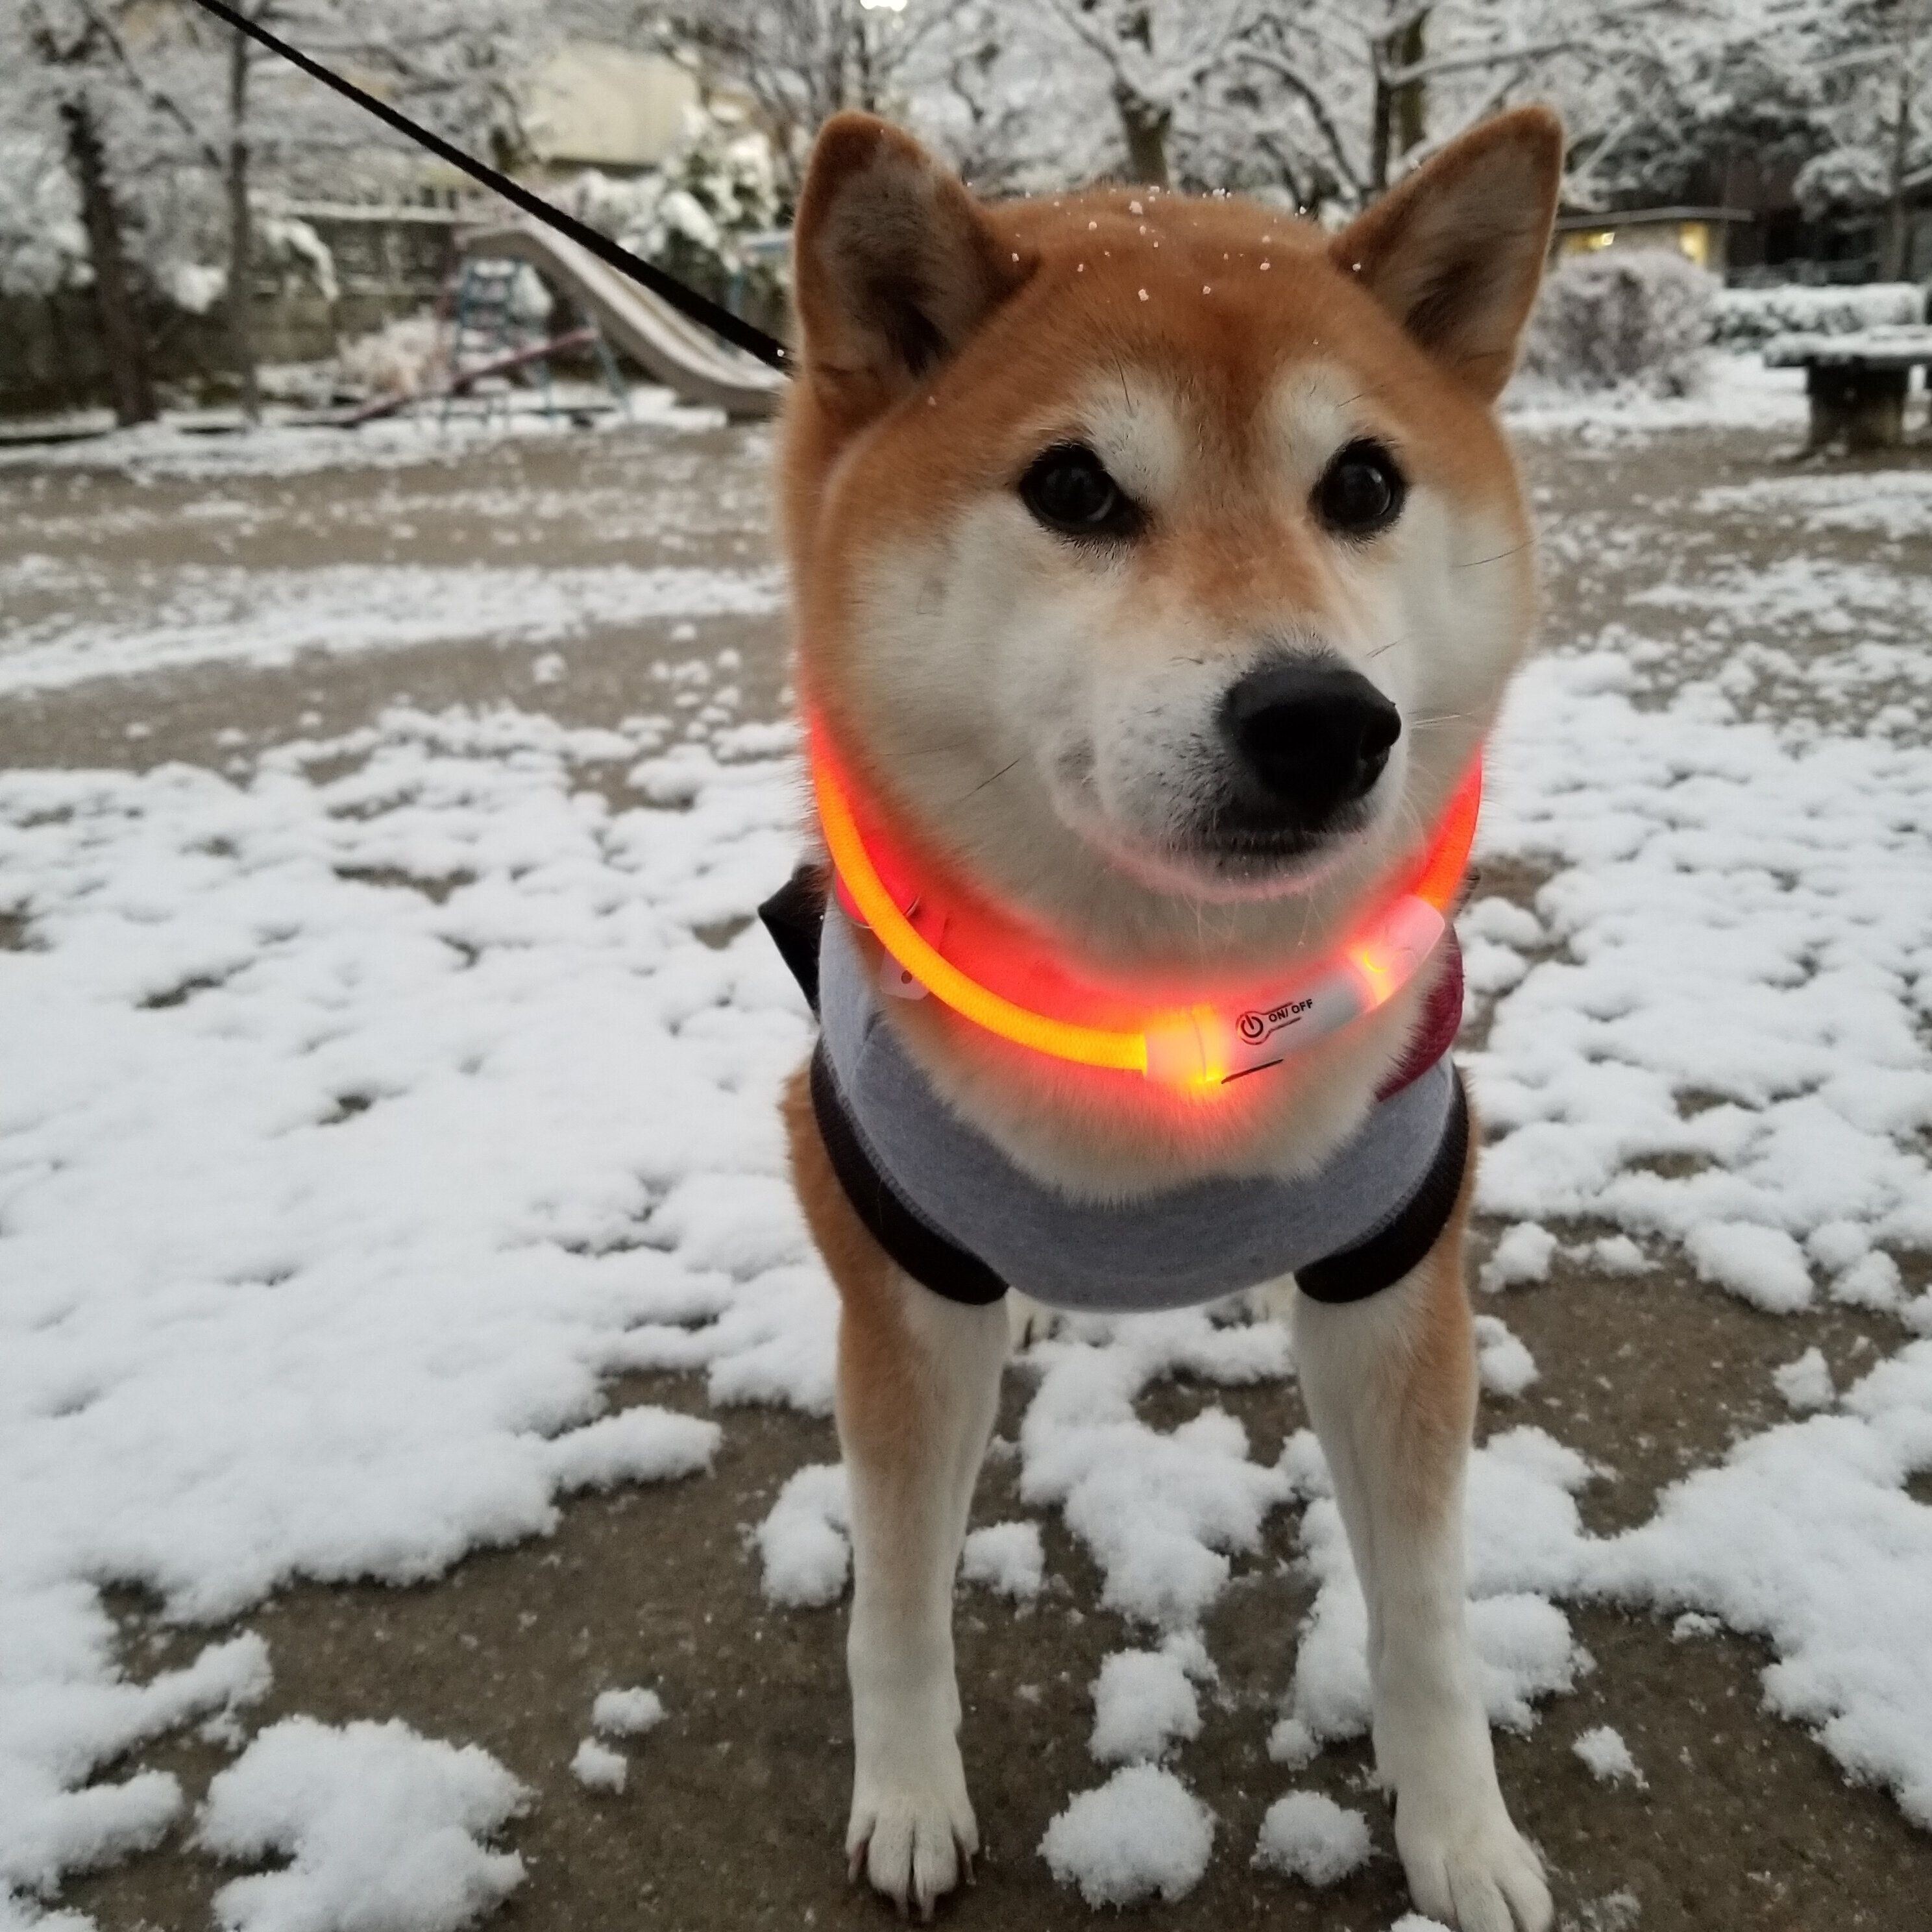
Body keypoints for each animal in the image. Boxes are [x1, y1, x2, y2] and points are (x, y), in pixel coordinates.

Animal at [768, 105, 1569, 1932]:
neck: (1169, 1010)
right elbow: (898, 1600)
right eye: (1074, 487)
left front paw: (1461, 1831)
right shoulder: (906, 1284)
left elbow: (1425, 1613)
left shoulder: (1395, 1268)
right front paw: (907, 1798)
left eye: (1363, 485)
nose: (1322, 720)